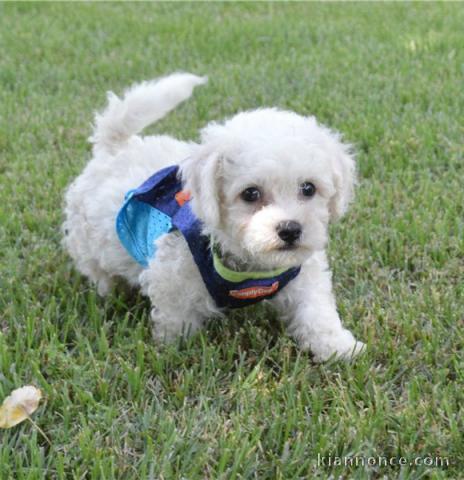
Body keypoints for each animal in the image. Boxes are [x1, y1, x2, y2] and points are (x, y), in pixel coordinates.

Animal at [62, 73, 366, 362]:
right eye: (250, 194)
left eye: (308, 188)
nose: (290, 230)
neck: (251, 269)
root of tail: (115, 147)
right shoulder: (172, 281)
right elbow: (176, 322)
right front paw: (174, 352)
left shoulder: (303, 276)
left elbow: (316, 312)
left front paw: (339, 348)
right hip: (88, 241)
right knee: (98, 272)